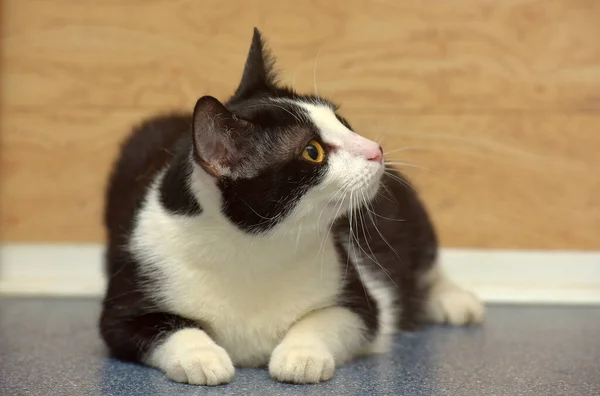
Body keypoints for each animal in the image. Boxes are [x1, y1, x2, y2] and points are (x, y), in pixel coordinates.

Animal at [99, 28, 482, 386]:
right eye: (312, 151)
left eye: (341, 120)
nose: (376, 149)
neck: (256, 250)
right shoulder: (131, 291)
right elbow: (162, 327)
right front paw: (202, 357)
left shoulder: (359, 297)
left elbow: (334, 317)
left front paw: (301, 356)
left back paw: (453, 301)